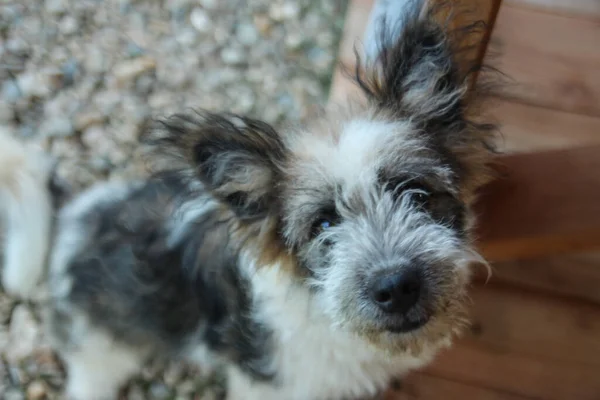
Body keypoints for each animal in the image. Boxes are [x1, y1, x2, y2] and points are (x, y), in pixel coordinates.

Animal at [2, 1, 494, 398]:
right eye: (323, 225)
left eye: (418, 194)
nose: (396, 286)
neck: (322, 309)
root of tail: (72, 212)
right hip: (99, 347)